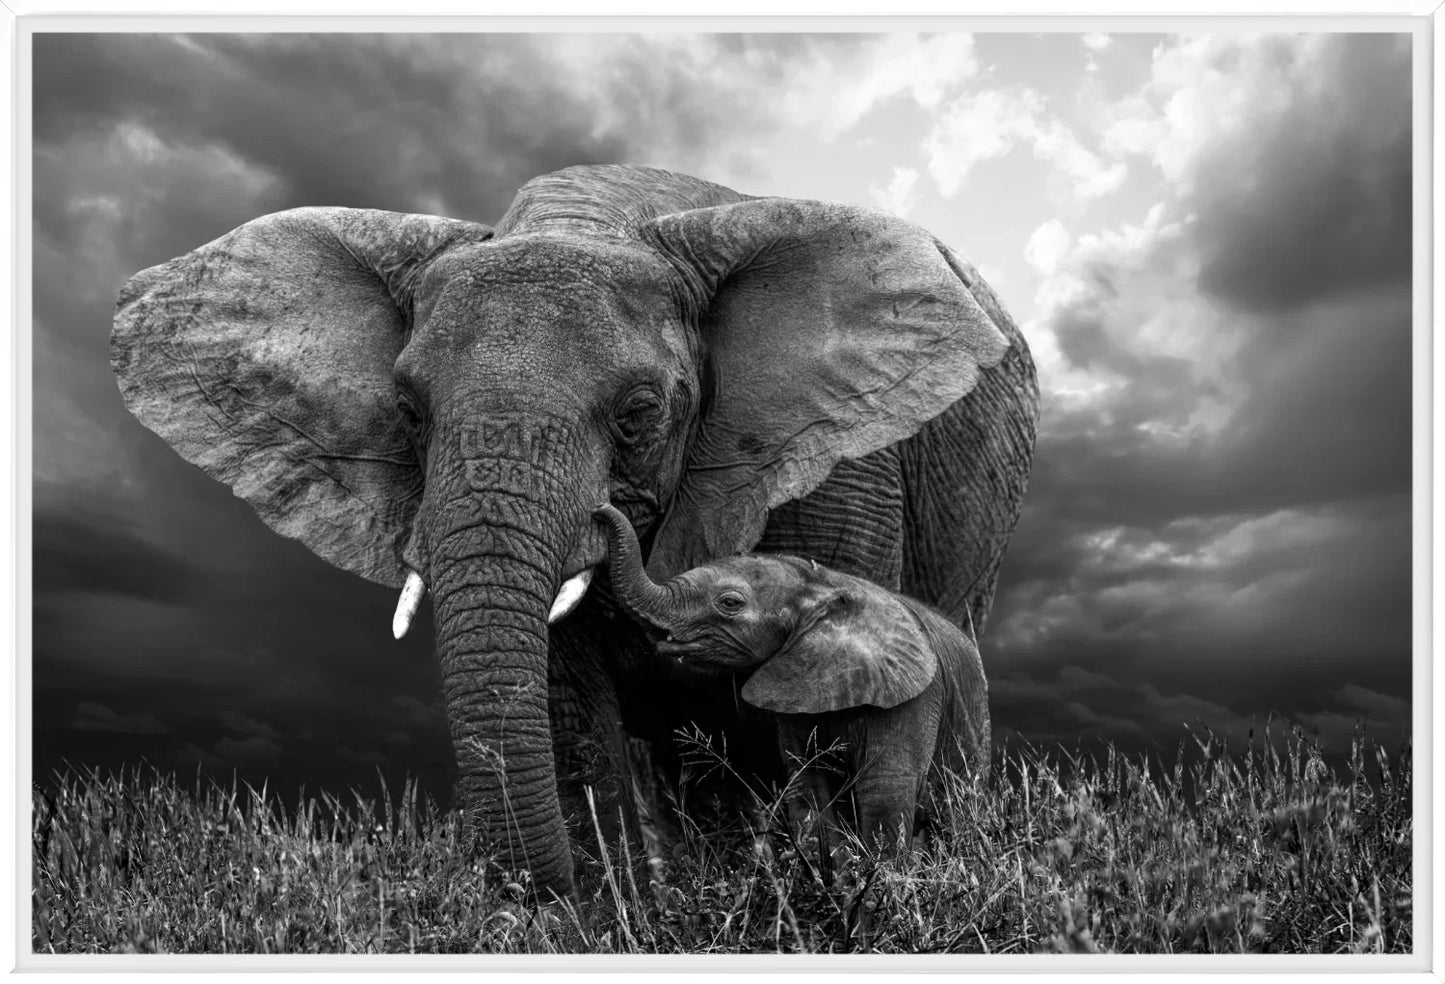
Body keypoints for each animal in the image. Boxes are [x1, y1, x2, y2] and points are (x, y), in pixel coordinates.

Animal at [593, 502, 989, 859]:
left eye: (730, 603)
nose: (599, 510)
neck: (821, 586)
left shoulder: (912, 699)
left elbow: (885, 792)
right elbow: (808, 790)